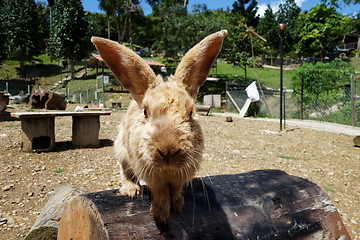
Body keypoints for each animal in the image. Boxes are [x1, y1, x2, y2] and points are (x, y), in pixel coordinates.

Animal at [92, 30, 228, 223]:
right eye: (145, 111)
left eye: (191, 112)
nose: (168, 150)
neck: (168, 171)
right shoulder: (153, 178)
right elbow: (161, 194)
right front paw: (160, 215)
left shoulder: (179, 178)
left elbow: (176, 191)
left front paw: (178, 207)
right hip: (121, 151)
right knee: (124, 172)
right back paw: (131, 190)